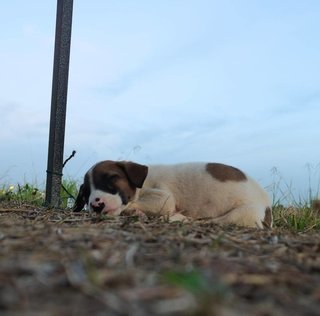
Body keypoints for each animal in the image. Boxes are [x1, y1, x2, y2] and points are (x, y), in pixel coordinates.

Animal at [73, 160, 272, 227]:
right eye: (86, 192)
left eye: (112, 178)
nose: (96, 205)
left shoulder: (164, 198)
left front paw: (134, 210)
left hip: (243, 214)